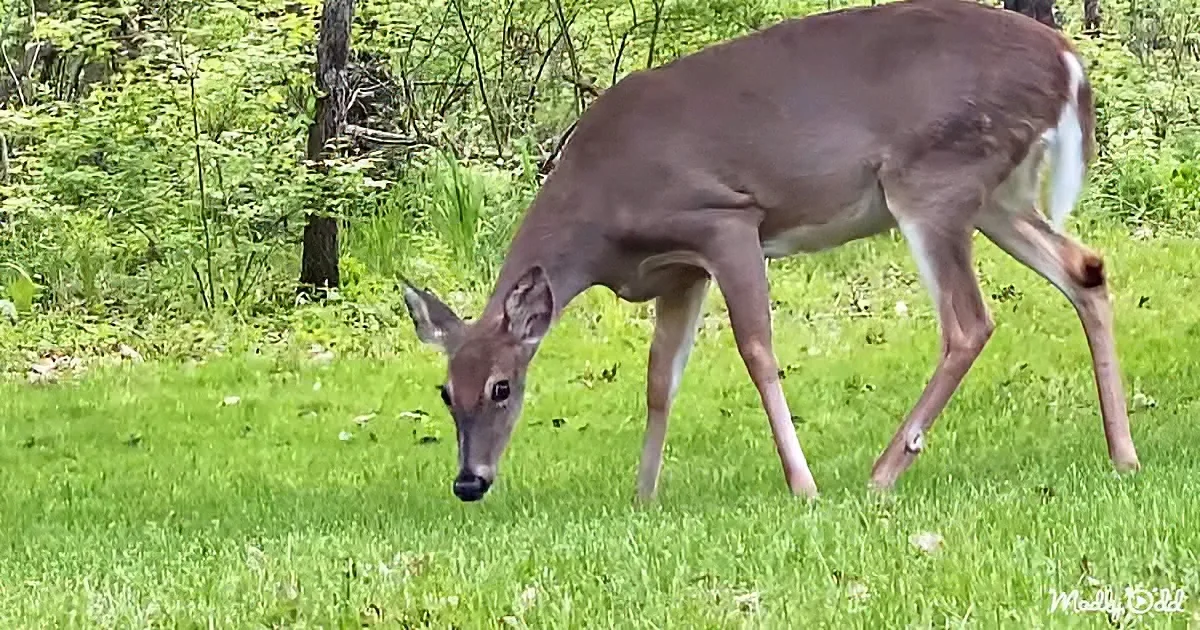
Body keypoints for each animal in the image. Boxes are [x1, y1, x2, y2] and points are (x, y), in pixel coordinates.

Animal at [401, 0, 1141, 503]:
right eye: (445, 391)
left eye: (503, 386)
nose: (469, 481)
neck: (600, 212)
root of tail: (1068, 62)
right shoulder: (678, 270)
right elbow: (659, 379)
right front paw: (643, 496)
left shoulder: (724, 220)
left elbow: (757, 351)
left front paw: (802, 484)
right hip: (997, 195)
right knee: (1085, 269)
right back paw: (1123, 454)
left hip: (933, 178)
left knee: (969, 322)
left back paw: (882, 472)